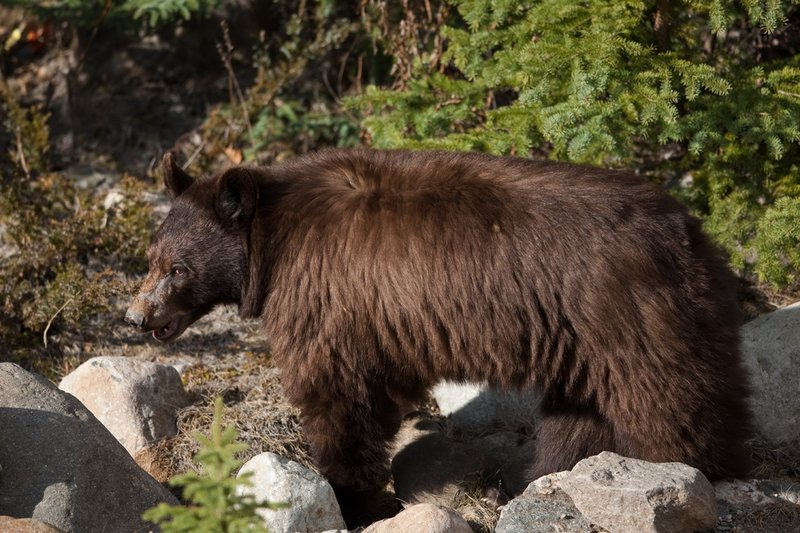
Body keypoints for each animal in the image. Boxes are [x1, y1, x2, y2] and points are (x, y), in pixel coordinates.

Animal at [126, 148, 752, 509]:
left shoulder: (329, 298)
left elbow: (338, 393)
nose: (137, 316)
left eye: (178, 269)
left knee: (665, 400)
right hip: (588, 339)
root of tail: (687, 231)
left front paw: (347, 488)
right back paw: (540, 479)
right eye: (152, 258)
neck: (274, 244)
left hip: (623, 315)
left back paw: (693, 469)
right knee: (583, 414)